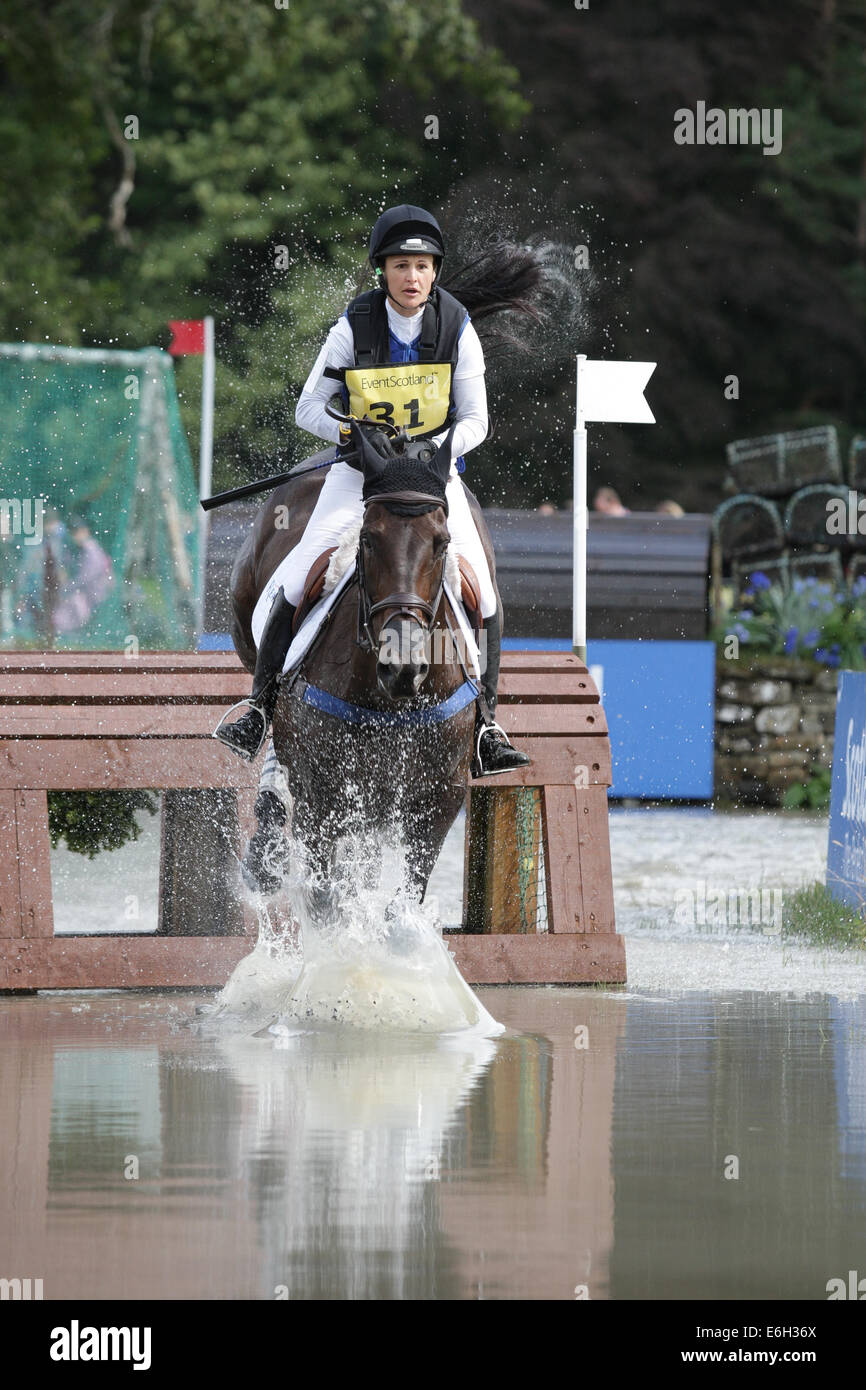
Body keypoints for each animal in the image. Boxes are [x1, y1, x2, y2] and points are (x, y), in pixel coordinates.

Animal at [229, 433, 500, 911]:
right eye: (369, 539)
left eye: (441, 542)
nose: (403, 666)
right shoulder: (320, 798)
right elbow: (324, 898)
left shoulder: (442, 795)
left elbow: (404, 900)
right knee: (270, 719)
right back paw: (264, 849)